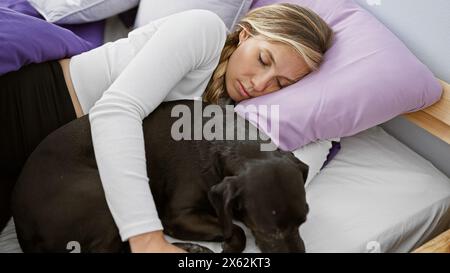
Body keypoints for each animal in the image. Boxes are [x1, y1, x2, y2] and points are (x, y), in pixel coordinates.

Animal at [11, 99, 310, 252]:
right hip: (102, 197)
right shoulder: (178, 215)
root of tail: (22, 228)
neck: (230, 139)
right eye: (268, 231)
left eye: (303, 220)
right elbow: (235, 230)